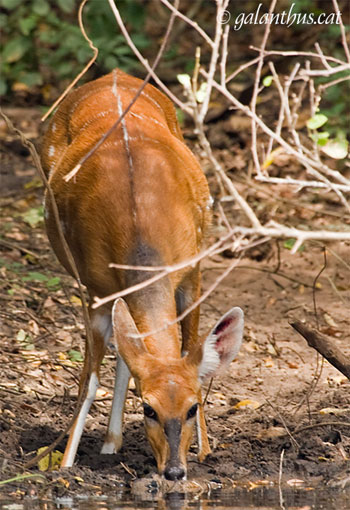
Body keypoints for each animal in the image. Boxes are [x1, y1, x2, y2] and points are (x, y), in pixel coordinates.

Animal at [41, 69, 243, 480]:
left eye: (192, 407)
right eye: (148, 408)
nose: (174, 471)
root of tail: (114, 75)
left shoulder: (191, 269)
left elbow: (189, 346)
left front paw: (205, 451)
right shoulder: (94, 286)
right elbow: (89, 380)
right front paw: (65, 464)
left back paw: (112, 441)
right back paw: (109, 442)